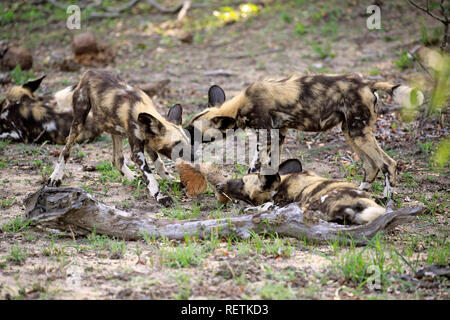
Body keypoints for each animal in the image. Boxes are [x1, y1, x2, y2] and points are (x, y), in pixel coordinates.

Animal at [48, 69, 192, 208]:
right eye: (177, 144)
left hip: (114, 129)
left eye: (188, 142)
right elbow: (150, 177)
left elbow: (160, 164)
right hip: (78, 122)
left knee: (117, 159)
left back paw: (132, 177)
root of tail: (89, 72)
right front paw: (161, 197)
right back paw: (55, 177)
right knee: (65, 151)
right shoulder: (137, 152)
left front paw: (171, 180)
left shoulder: (148, 142)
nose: (194, 156)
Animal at [185, 74, 424, 198]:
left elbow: (256, 166)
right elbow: (269, 166)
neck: (240, 106)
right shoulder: (278, 135)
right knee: (371, 166)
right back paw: (359, 192)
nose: (185, 138)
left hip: (358, 133)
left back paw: (387, 199)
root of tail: (367, 83)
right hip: (351, 132)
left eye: (193, 131)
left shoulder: (266, 136)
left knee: (388, 164)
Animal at [216, 158, 384, 224]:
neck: (280, 185)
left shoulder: (279, 203)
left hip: (310, 204)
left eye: (242, 182)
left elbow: (262, 206)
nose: (218, 185)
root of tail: (360, 200)